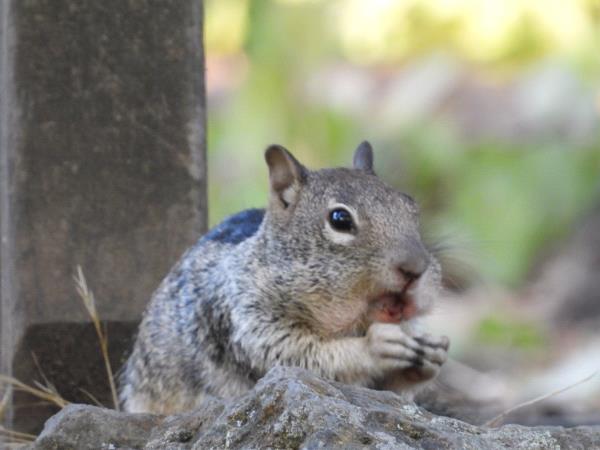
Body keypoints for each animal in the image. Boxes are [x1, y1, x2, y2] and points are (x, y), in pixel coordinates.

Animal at [119, 142, 450, 414]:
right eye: (340, 219)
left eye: (411, 207)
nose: (415, 268)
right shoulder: (247, 319)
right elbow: (298, 357)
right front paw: (375, 346)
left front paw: (431, 355)